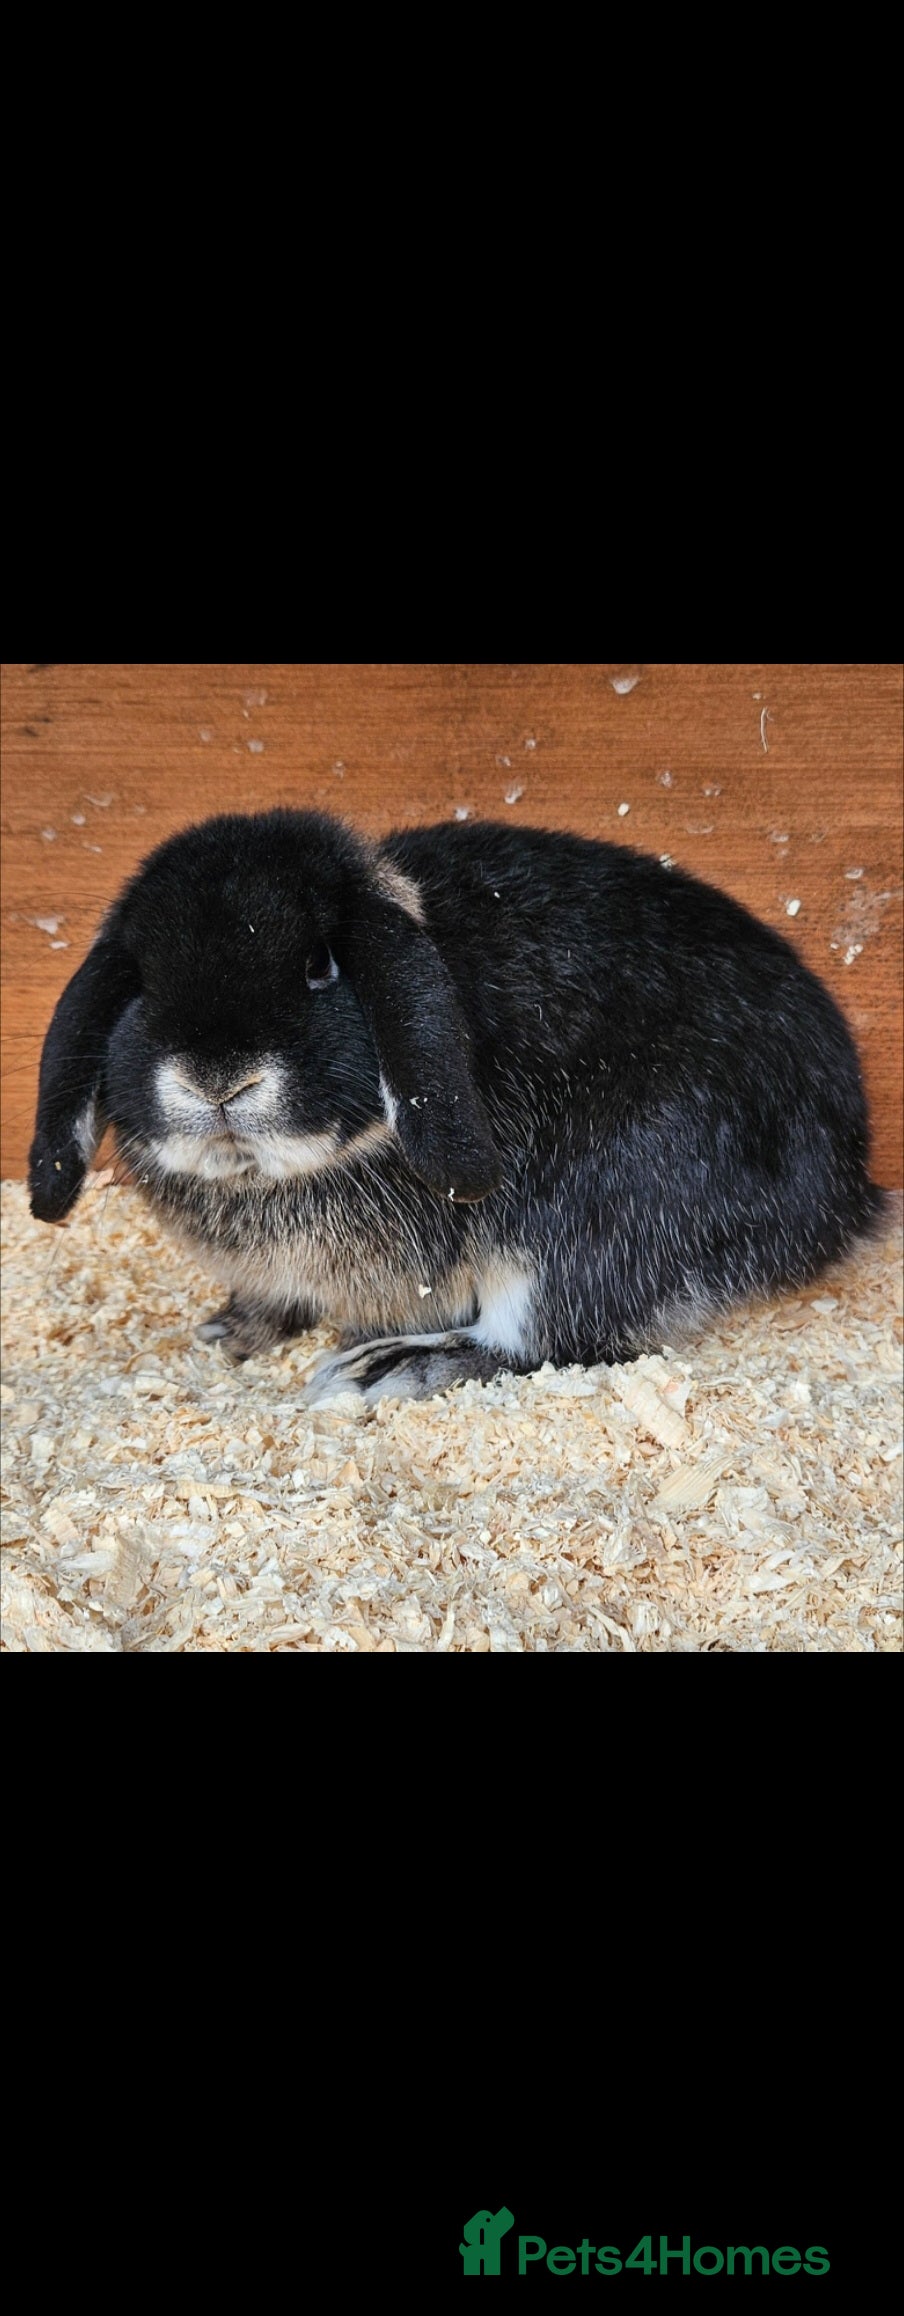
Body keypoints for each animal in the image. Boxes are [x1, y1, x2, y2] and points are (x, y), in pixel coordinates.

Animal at [28, 807, 886, 1403]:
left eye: (319, 966)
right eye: (141, 982)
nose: (217, 1080)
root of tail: (843, 1195)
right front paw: (230, 1331)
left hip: (599, 1206)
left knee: (545, 1334)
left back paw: (386, 1369)